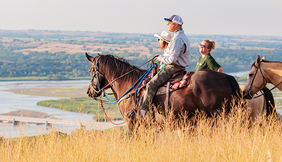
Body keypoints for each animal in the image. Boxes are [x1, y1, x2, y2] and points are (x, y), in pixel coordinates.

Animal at [86, 53, 240, 132]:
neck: (130, 85)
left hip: (215, 118)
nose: (89, 91)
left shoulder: (133, 124)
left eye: (91, 70)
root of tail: (226, 76)